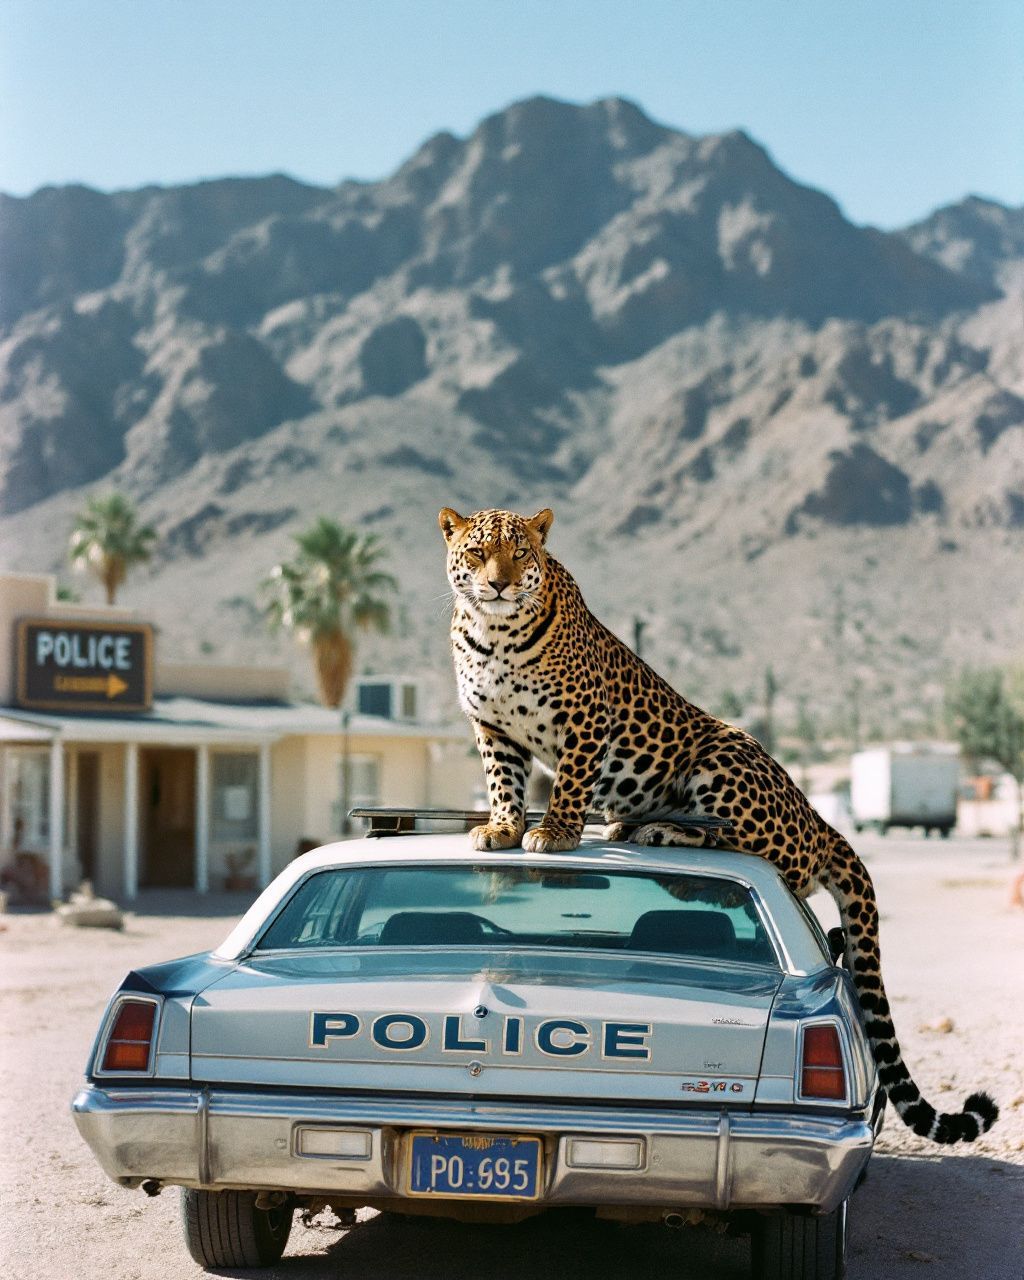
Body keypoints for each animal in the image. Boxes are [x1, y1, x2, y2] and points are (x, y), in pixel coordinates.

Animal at [442, 504, 998, 1146]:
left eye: (519, 554)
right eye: (478, 553)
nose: (498, 585)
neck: (494, 636)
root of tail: (817, 817)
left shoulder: (585, 716)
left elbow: (573, 780)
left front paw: (554, 831)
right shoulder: (492, 727)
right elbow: (502, 781)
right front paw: (502, 827)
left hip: (723, 755)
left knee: (759, 848)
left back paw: (652, 830)